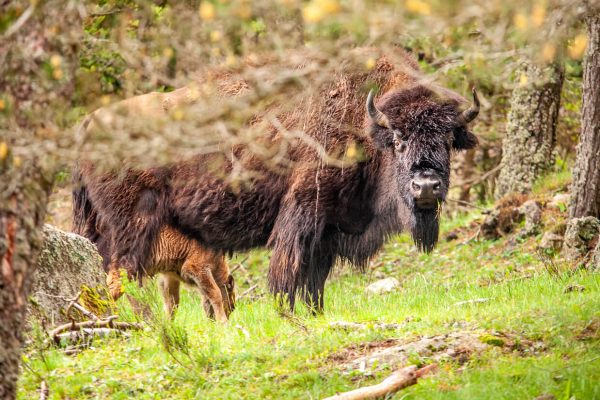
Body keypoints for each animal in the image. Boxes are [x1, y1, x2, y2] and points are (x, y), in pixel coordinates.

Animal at [74, 48, 478, 312]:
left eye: (447, 139)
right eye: (398, 139)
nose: (425, 187)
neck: (365, 124)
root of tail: (89, 123)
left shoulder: (327, 231)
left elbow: (315, 282)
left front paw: (315, 316)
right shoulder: (303, 216)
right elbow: (289, 275)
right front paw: (287, 315)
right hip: (131, 228)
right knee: (119, 278)